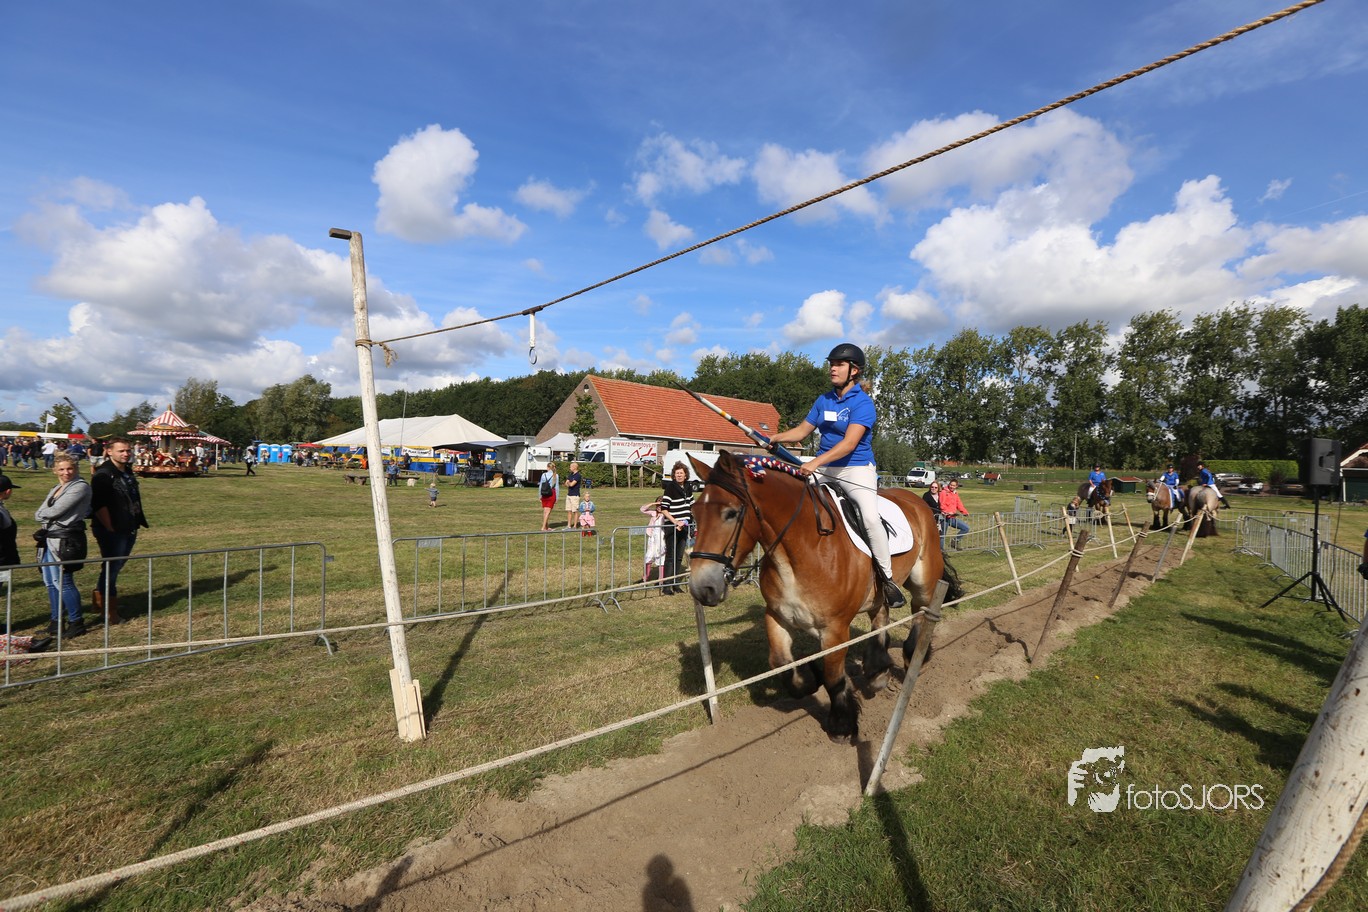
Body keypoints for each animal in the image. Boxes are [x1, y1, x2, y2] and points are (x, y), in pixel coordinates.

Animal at [687, 450, 962, 744]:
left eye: (730, 513)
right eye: (695, 513)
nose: (702, 587)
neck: (802, 550)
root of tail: (919, 503)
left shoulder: (835, 630)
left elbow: (833, 678)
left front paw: (841, 724)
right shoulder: (777, 616)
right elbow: (782, 665)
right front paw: (811, 678)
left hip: (924, 584)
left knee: (920, 614)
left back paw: (913, 660)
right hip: (878, 593)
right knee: (881, 617)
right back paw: (877, 671)